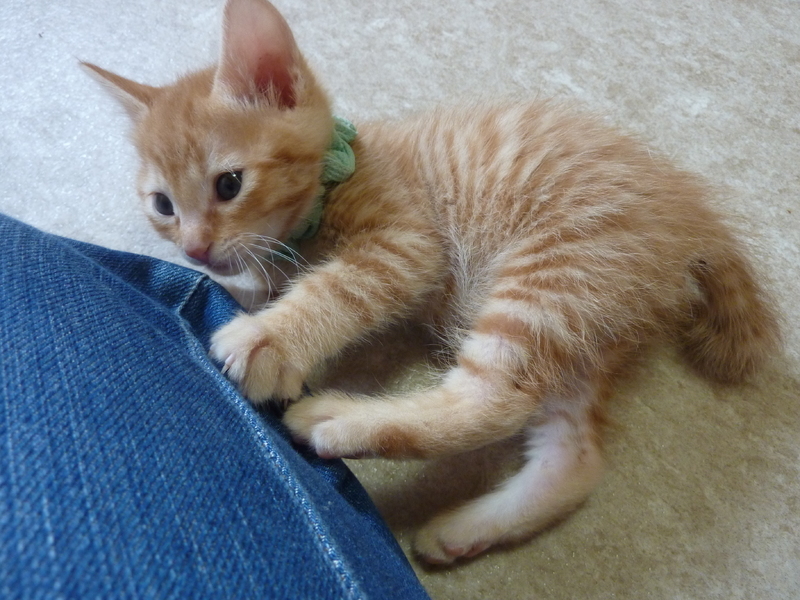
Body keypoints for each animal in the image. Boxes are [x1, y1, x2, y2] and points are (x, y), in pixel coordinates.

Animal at [84, 0, 780, 564]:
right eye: (163, 206)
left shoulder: (408, 242)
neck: (338, 177)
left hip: (555, 272)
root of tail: (691, 217)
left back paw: (340, 420)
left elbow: (339, 287)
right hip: (586, 324)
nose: (195, 248)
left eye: (229, 184)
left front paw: (272, 337)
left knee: (493, 399)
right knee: (576, 455)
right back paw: (466, 527)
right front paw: (245, 292)